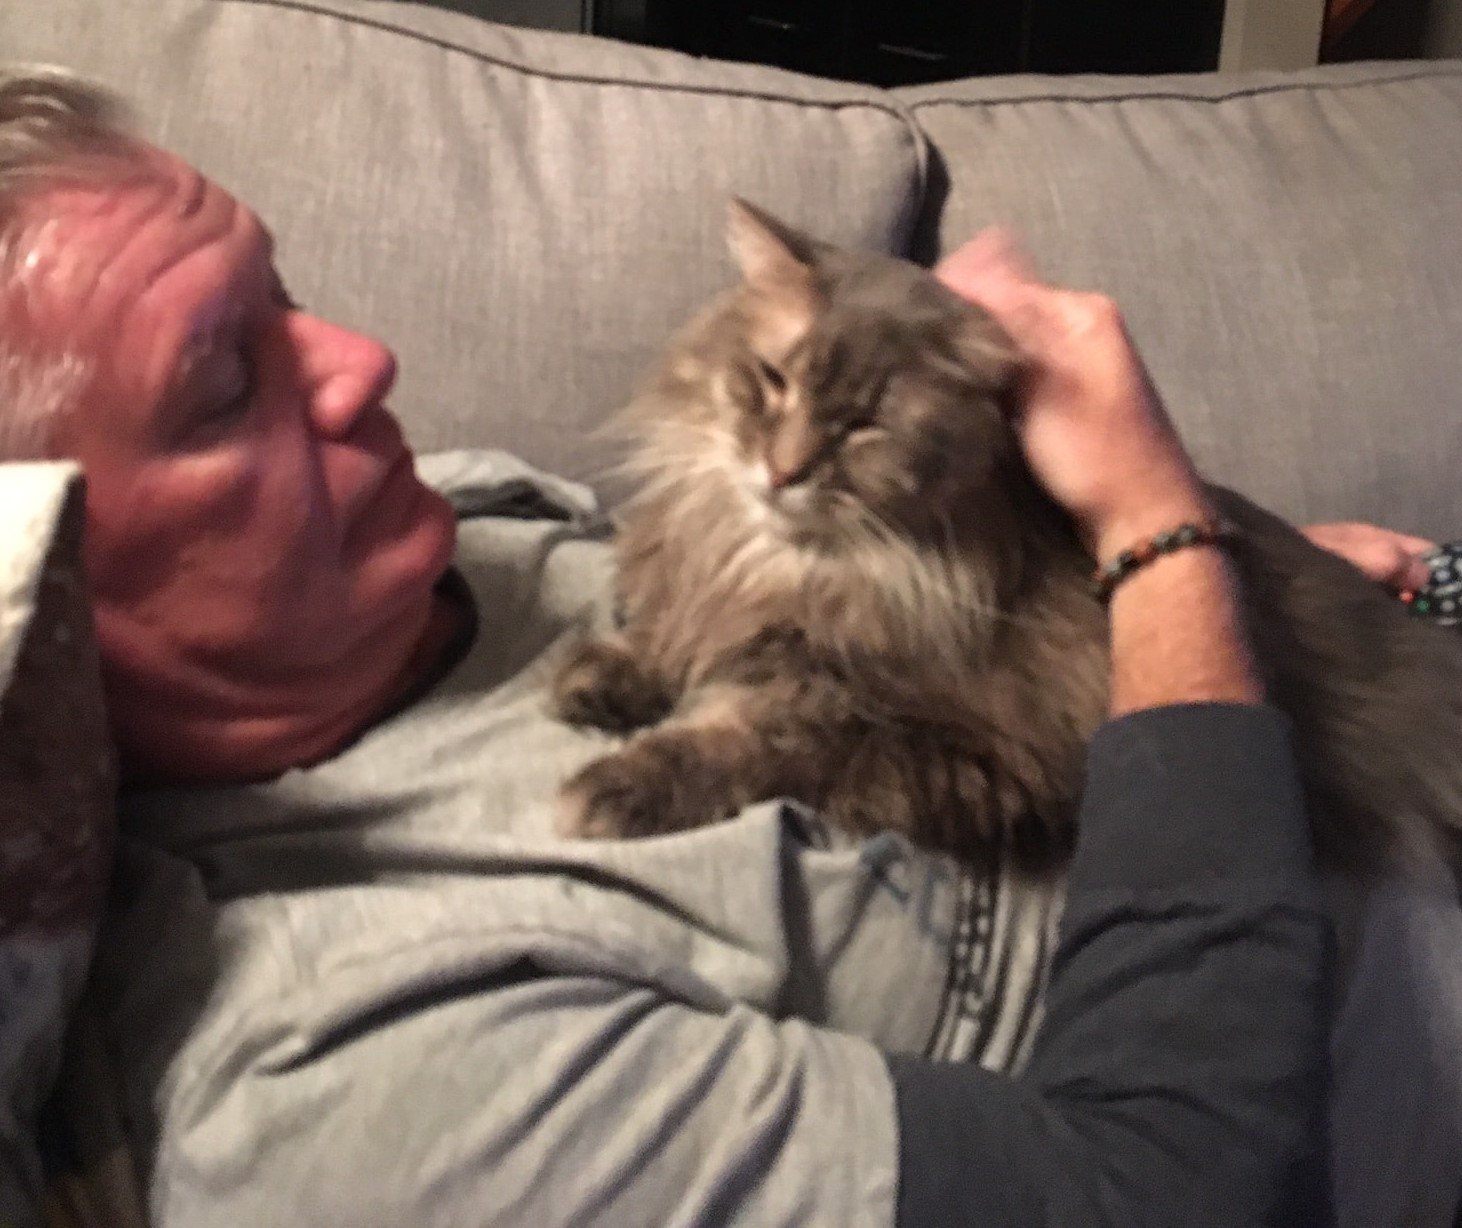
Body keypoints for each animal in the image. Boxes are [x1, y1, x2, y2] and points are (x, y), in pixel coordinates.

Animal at [549, 198, 1462, 871]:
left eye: (863, 424)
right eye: (771, 380)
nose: (782, 472)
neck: (791, 566)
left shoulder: (967, 752)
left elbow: (756, 744)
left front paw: (618, 786)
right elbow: (668, 640)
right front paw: (605, 676)